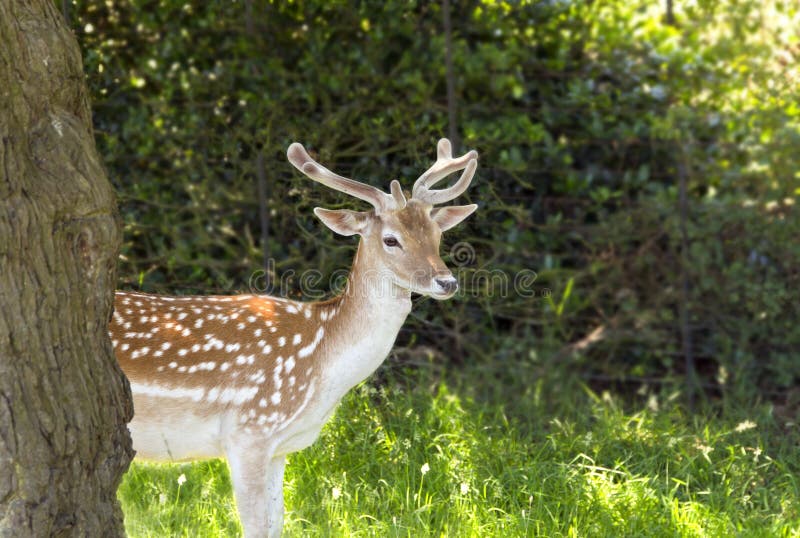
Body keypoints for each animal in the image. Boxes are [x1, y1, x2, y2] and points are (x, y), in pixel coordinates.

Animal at [109, 139, 478, 536]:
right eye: (390, 239)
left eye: (437, 235)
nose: (446, 282)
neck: (320, 361)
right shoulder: (249, 430)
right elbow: (256, 527)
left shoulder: (279, 448)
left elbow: (277, 523)